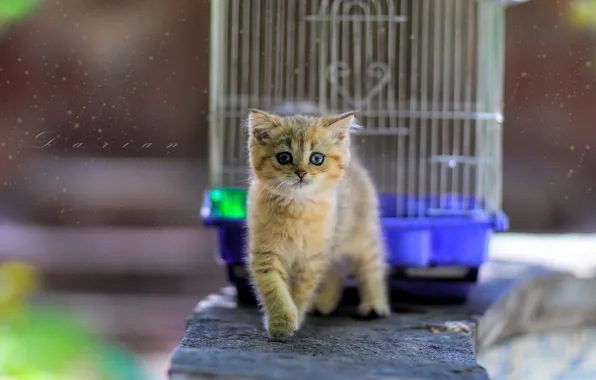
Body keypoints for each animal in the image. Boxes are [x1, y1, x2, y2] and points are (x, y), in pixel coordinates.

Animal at [244, 107, 388, 338]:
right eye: (284, 157)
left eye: (317, 158)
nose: (301, 172)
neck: (296, 209)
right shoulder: (266, 254)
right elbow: (274, 289)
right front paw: (282, 321)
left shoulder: (310, 261)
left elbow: (300, 292)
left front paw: (296, 316)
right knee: (337, 272)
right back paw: (324, 304)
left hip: (364, 236)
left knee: (371, 268)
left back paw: (374, 304)